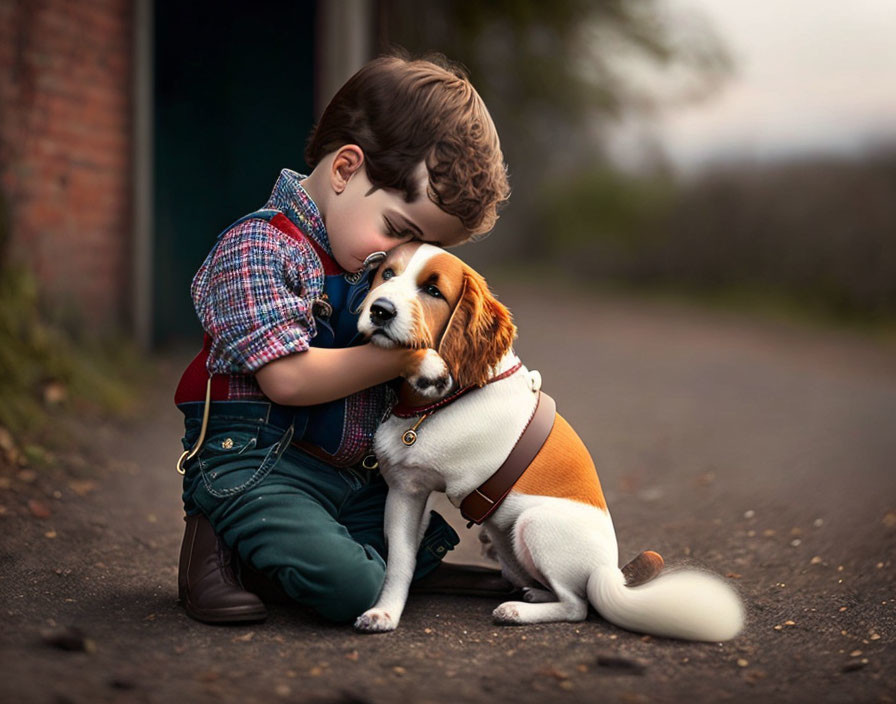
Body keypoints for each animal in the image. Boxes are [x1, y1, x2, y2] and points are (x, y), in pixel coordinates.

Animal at [354, 243, 744, 644]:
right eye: (387, 274)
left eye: (433, 290)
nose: (379, 309)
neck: (433, 406)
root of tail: (608, 572)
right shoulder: (406, 492)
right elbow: (400, 561)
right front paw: (385, 613)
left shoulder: (424, 482)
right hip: (503, 544)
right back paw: (531, 594)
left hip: (534, 522)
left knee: (577, 606)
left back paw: (516, 611)